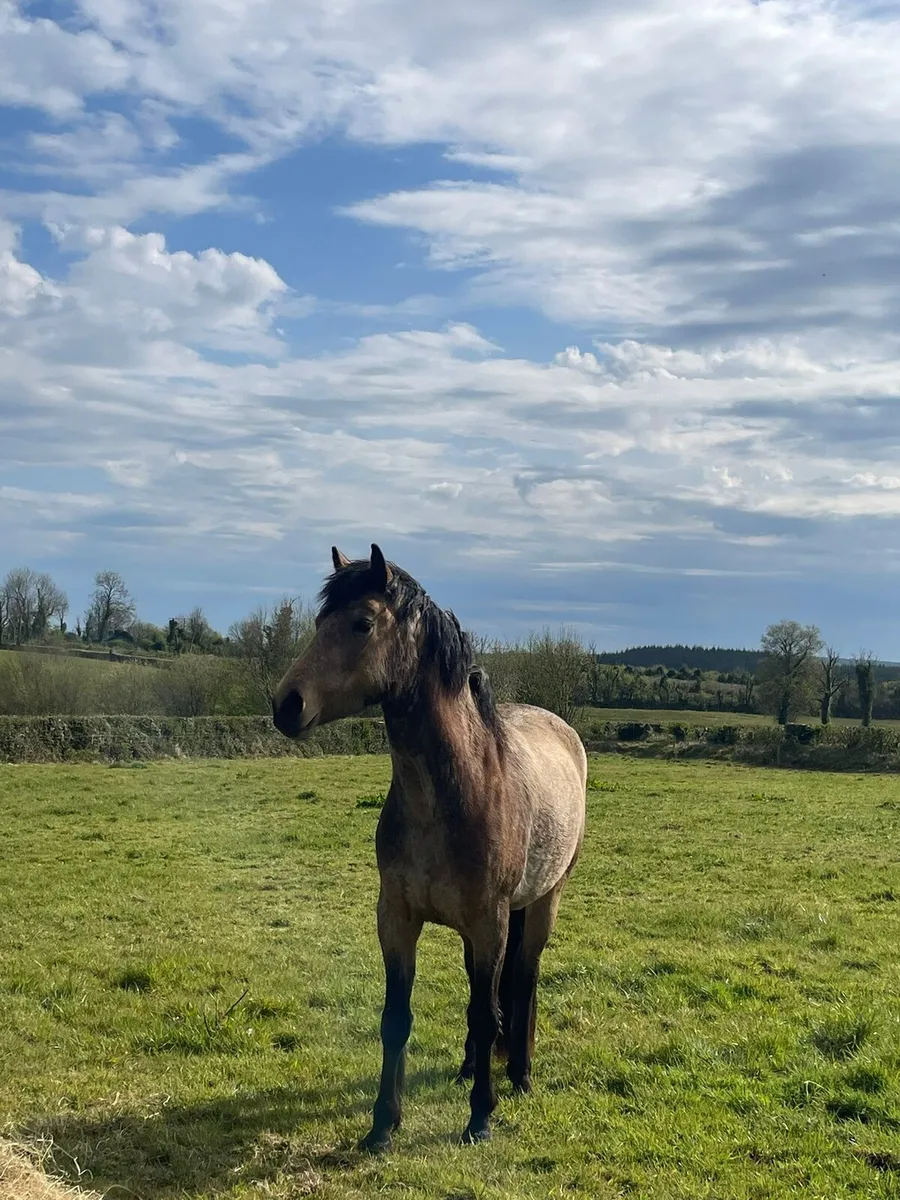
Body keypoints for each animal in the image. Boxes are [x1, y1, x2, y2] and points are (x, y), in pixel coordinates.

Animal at [272, 544, 587, 1150]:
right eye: (319, 623)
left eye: (362, 623)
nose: (286, 705)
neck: (449, 794)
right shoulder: (397, 916)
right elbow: (398, 1017)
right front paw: (382, 1124)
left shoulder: (491, 922)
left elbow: (489, 1012)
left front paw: (480, 1117)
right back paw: (468, 1068)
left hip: (543, 902)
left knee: (523, 980)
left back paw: (520, 1074)